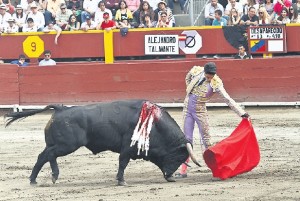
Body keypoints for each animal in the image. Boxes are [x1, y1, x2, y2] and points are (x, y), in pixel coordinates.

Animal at [4, 99, 199, 185]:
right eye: (178, 156)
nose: (170, 177)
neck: (155, 125)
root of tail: (60, 109)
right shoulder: (127, 147)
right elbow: (123, 163)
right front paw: (121, 181)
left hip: (56, 144)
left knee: (44, 156)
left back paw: (39, 179)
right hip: (67, 145)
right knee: (49, 155)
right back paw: (48, 176)